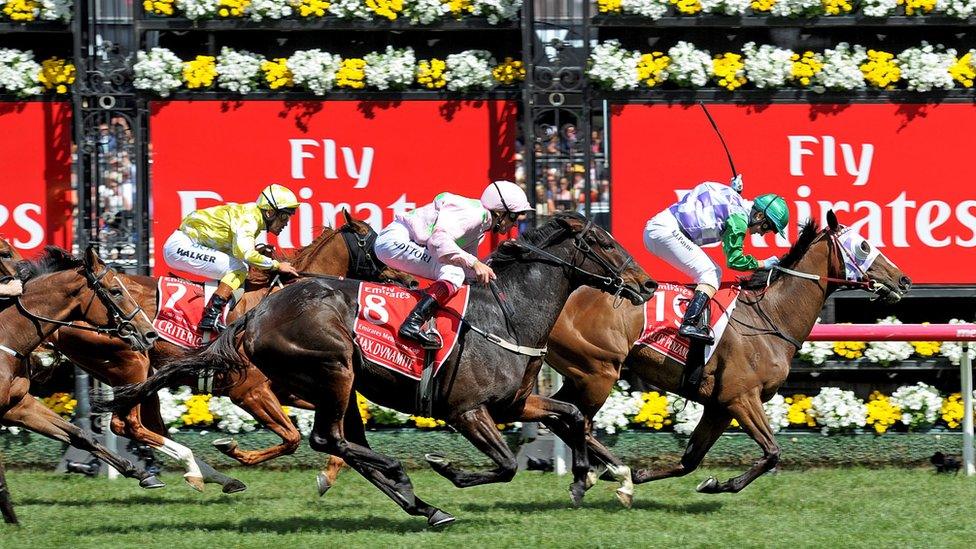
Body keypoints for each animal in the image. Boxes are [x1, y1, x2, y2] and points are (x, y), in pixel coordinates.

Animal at [0, 247, 162, 524]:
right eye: (115, 291)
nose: (150, 333)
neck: (8, 336)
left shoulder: (17, 406)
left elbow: (80, 435)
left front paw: (141, 473)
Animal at [45, 211, 414, 492]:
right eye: (374, 243)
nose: (411, 281)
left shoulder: (289, 389)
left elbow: (329, 429)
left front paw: (330, 472)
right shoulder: (249, 391)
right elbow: (293, 437)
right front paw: (232, 448)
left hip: (144, 378)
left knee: (149, 426)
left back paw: (207, 475)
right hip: (131, 363)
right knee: (127, 425)